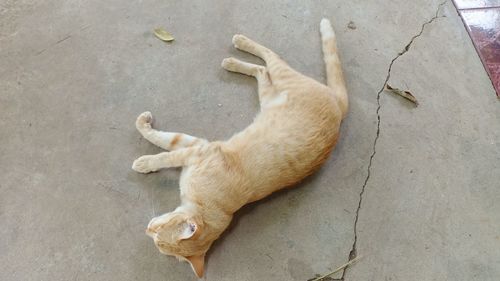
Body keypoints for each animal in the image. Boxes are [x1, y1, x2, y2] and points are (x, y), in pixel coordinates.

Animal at [132, 18, 348, 276]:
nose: (146, 228)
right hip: (269, 95)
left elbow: (166, 149)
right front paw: (143, 127)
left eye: (157, 234)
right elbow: (166, 142)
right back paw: (235, 56)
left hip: (282, 82)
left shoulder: (198, 150)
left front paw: (144, 161)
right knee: (264, 68)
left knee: (270, 60)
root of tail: (339, 106)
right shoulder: (200, 147)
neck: (208, 204)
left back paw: (237, 50)